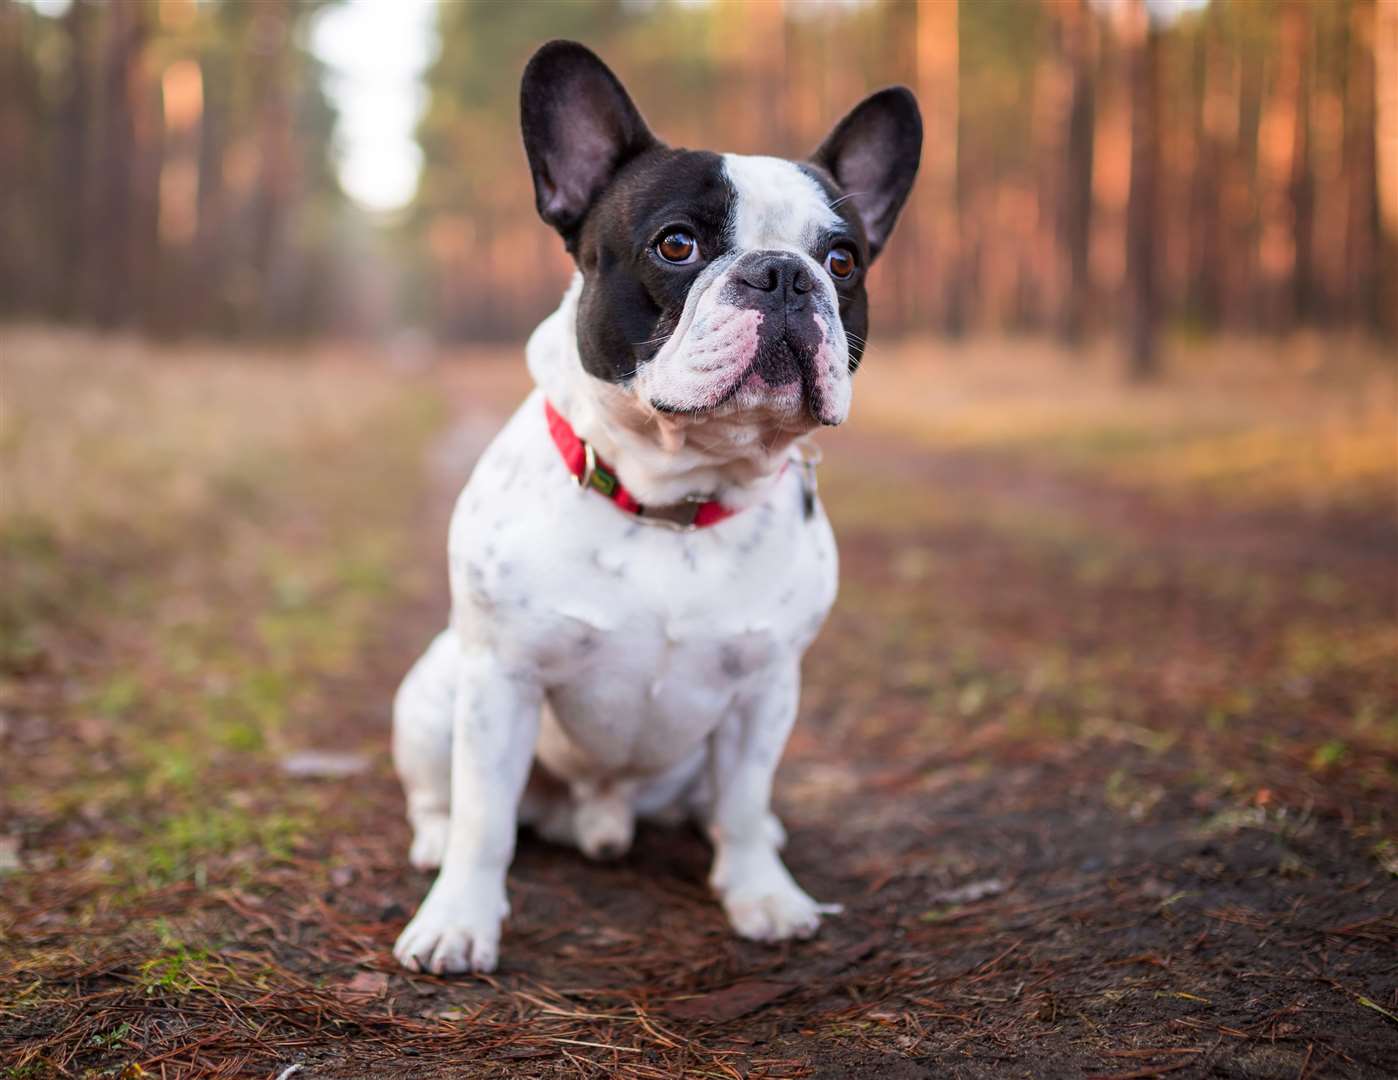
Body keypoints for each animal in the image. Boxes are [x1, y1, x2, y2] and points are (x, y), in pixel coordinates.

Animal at [388, 42, 922, 972]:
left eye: (843, 261)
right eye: (677, 245)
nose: (784, 275)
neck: (677, 496)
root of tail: (600, 813)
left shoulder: (765, 692)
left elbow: (742, 801)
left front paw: (761, 896)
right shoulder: (501, 680)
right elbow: (485, 818)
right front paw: (458, 920)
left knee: (726, 806)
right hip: (432, 690)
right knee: (444, 798)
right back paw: (433, 842)